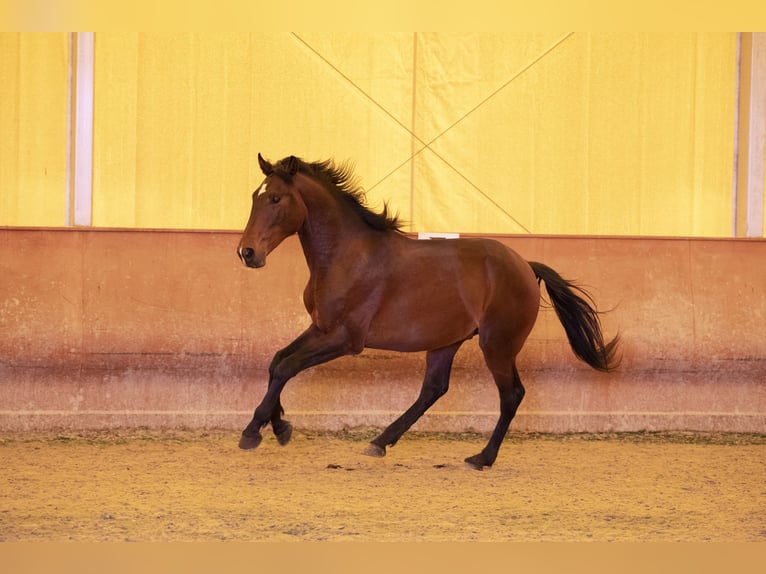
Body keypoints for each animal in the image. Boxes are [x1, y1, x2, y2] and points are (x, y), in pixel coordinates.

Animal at [237, 154, 620, 472]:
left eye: (276, 199)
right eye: (254, 196)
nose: (247, 252)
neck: (347, 255)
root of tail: (526, 266)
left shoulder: (345, 338)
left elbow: (287, 366)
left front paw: (254, 431)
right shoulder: (320, 328)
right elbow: (277, 361)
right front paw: (279, 426)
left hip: (497, 345)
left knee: (511, 394)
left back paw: (481, 458)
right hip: (446, 341)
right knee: (434, 389)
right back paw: (380, 442)